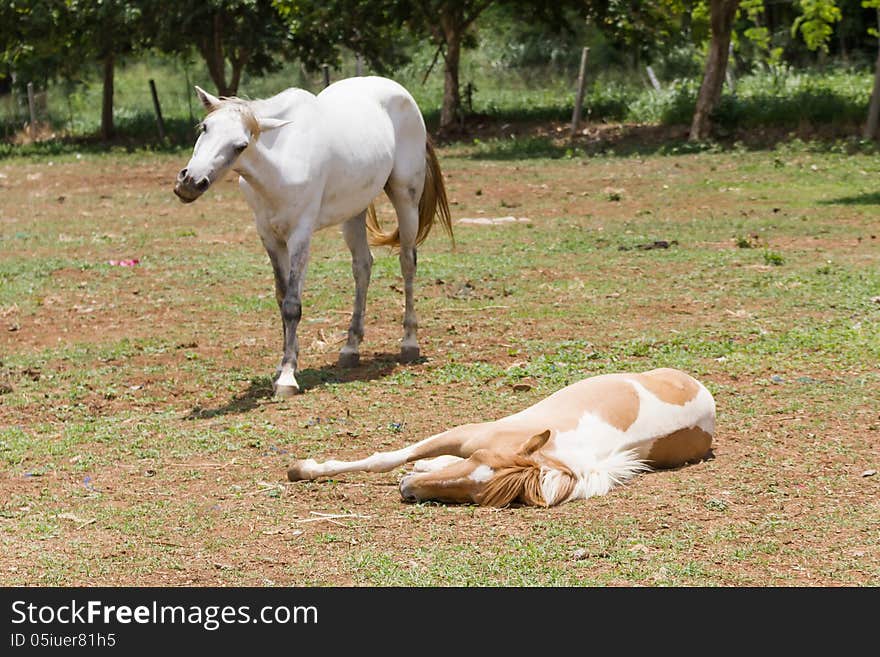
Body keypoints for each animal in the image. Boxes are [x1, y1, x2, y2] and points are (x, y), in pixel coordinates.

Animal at [176, 75, 458, 394]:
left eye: (240, 145)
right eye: (205, 127)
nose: (190, 182)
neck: (281, 160)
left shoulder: (300, 234)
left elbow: (292, 305)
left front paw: (287, 376)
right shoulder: (269, 236)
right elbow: (281, 296)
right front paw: (284, 364)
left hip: (405, 199)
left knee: (407, 262)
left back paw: (409, 343)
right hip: (354, 211)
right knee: (363, 266)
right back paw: (350, 348)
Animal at [288, 368, 716, 508]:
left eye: (478, 497)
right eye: (478, 459)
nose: (407, 490)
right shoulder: (464, 434)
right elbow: (387, 458)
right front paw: (303, 468)